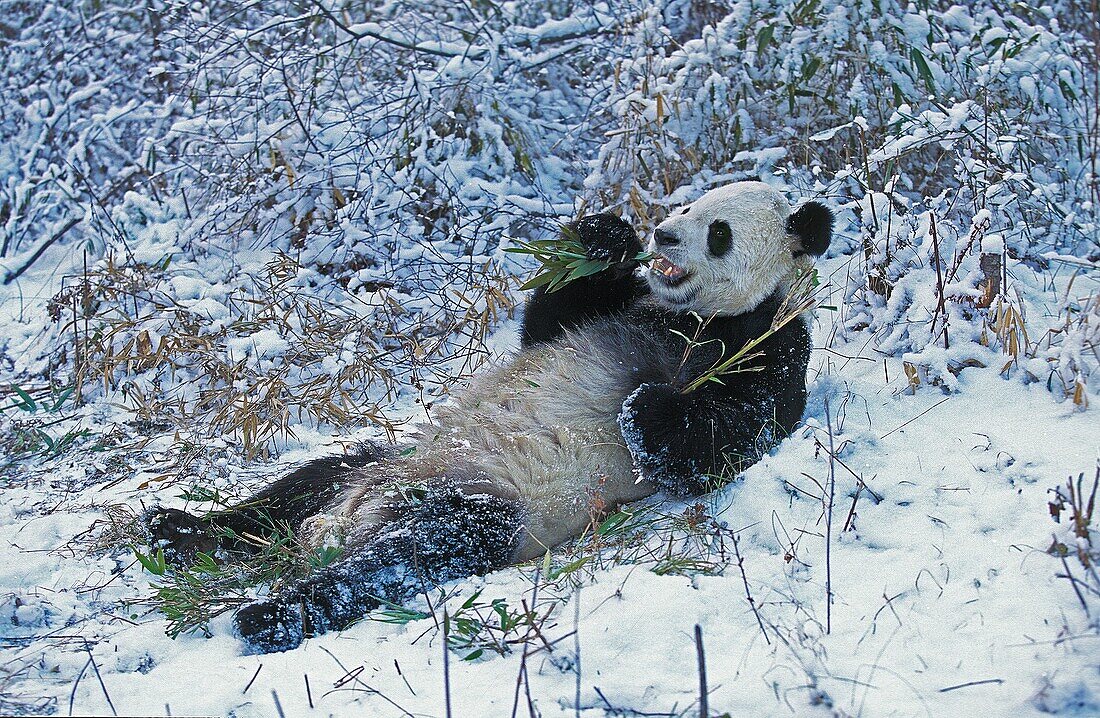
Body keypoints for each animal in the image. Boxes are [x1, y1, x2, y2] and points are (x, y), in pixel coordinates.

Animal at [146, 179, 831, 650]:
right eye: (687, 206)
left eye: (718, 231)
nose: (661, 235)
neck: (689, 317)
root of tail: (346, 519)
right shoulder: (626, 308)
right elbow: (550, 320)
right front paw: (606, 237)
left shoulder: (767, 342)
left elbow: (726, 439)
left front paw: (645, 406)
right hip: (383, 463)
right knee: (296, 490)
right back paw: (178, 530)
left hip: (487, 503)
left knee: (404, 554)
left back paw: (269, 613)